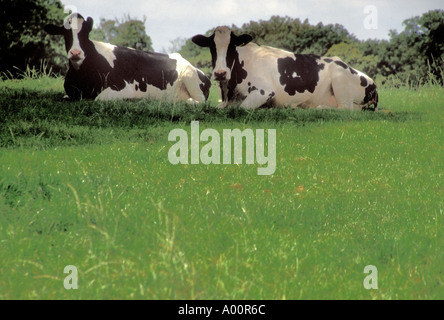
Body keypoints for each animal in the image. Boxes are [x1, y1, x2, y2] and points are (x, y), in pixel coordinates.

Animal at [44, 13, 210, 101]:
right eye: (65, 33)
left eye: (86, 32)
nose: (75, 53)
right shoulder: (70, 92)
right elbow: (65, 97)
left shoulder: (122, 88)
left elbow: (98, 98)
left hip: (190, 78)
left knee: (196, 102)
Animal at [192, 25, 378, 110]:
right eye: (212, 47)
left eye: (232, 47)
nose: (220, 73)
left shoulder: (264, 91)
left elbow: (243, 108)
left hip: (340, 79)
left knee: (346, 108)